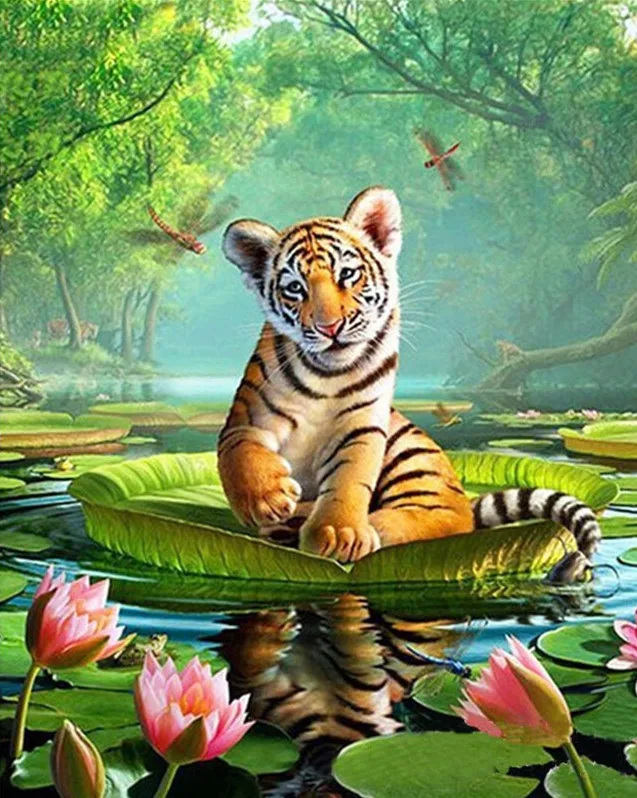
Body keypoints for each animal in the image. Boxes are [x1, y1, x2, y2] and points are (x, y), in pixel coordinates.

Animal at [219, 186, 601, 582]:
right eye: (295, 288)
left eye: (348, 274)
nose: (330, 327)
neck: (327, 375)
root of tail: (465, 497)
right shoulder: (247, 419)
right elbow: (240, 453)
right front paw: (267, 500)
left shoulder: (362, 428)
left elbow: (349, 479)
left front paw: (338, 534)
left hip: (414, 459)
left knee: (441, 521)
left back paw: (356, 527)